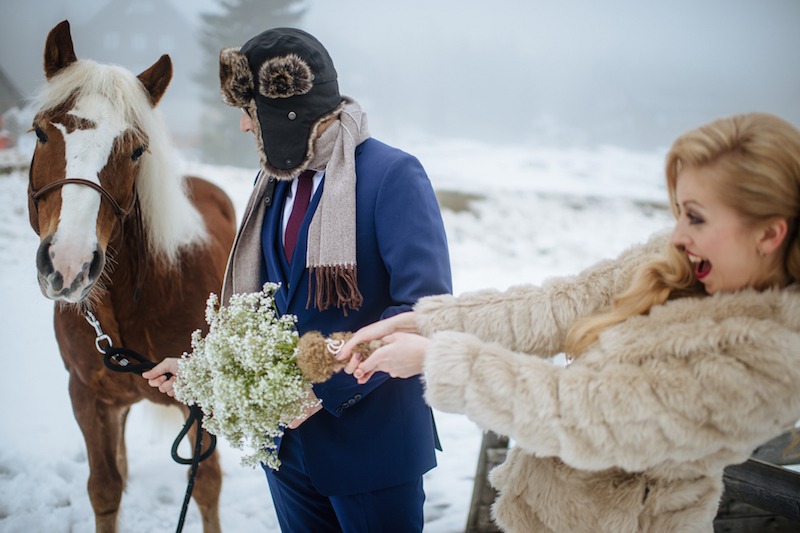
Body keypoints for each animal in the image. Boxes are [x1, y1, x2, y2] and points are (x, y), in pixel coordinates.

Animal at [25, 20, 238, 532]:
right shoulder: (87, 399)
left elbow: (206, 486)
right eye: (41, 133)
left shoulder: (198, 403)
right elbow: (104, 489)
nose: (69, 262)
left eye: (137, 149)